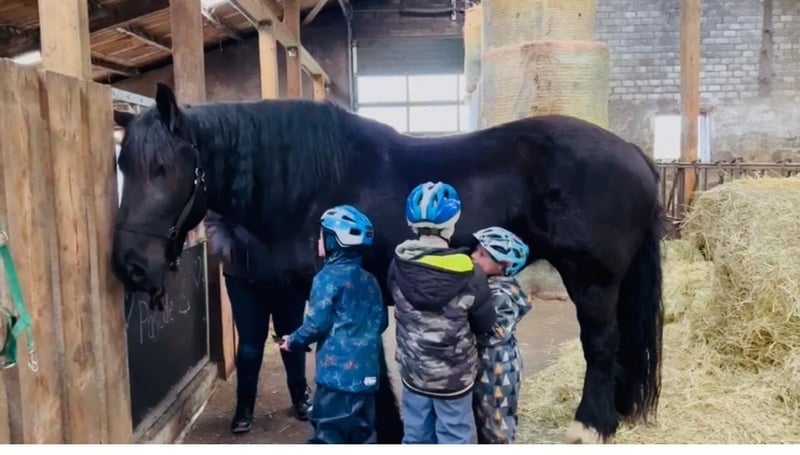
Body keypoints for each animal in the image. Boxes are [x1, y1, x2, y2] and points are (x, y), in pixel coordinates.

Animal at [111, 82, 665, 444]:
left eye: (164, 169)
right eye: (122, 166)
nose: (130, 266)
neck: (310, 185)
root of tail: (632, 151)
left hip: (593, 279)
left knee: (601, 344)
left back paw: (591, 425)